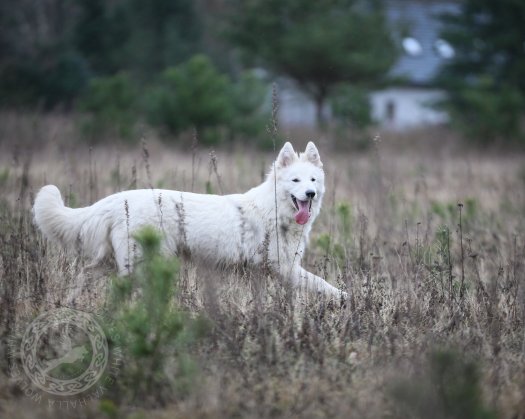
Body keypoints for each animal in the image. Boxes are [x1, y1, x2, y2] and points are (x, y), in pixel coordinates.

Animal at [32, 144, 344, 298]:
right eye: (295, 180)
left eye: (313, 180)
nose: (310, 193)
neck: (274, 210)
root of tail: (115, 200)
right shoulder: (286, 269)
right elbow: (325, 286)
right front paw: (346, 300)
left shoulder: (260, 274)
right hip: (138, 266)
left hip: (112, 262)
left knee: (83, 275)